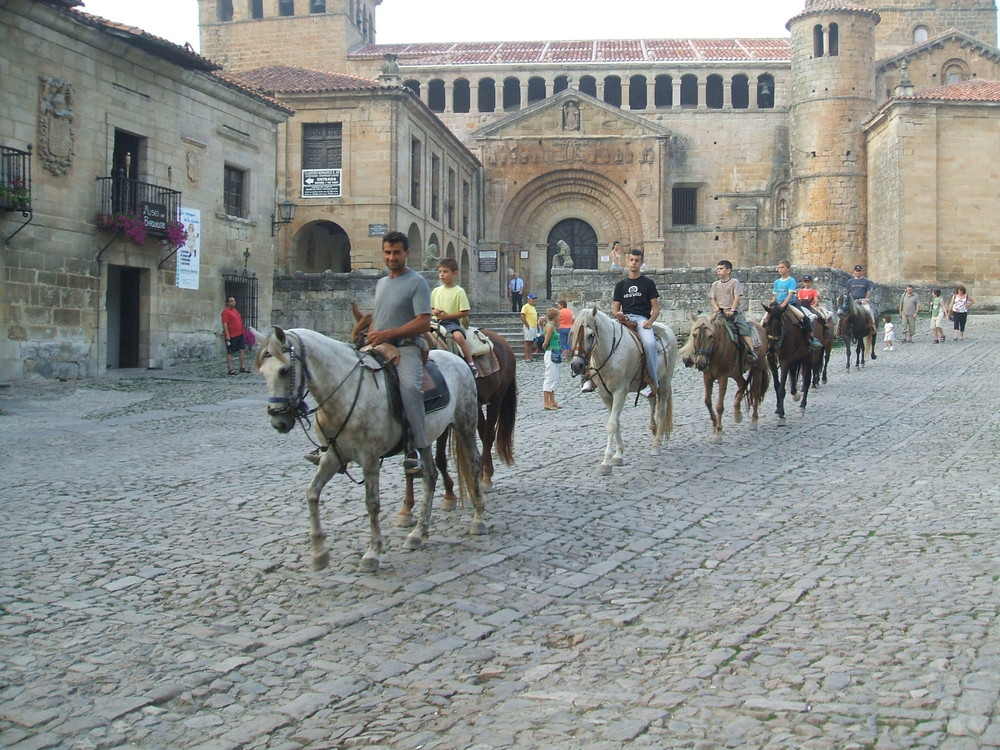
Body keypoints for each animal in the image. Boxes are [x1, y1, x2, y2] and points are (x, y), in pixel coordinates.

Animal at [256, 326, 486, 572]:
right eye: (262, 372)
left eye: (284, 370)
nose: (278, 422)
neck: (344, 391)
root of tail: (457, 359)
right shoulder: (333, 456)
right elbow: (312, 493)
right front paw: (319, 552)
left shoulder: (370, 458)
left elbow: (372, 503)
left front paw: (373, 552)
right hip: (424, 438)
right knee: (430, 476)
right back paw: (418, 533)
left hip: (464, 424)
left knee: (474, 464)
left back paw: (478, 519)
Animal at [350, 306, 520, 528]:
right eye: (356, 343)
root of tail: (501, 342)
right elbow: (411, 465)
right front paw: (406, 509)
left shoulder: (442, 421)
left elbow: (439, 458)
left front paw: (449, 495)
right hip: (475, 404)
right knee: (483, 432)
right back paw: (483, 474)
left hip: (496, 400)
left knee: (488, 435)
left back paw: (484, 479)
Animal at [572, 306, 680, 476]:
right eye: (572, 332)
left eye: (591, 335)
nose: (576, 365)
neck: (610, 353)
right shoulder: (605, 395)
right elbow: (616, 422)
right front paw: (618, 455)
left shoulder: (620, 393)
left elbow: (611, 424)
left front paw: (606, 462)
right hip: (650, 383)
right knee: (652, 400)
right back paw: (653, 428)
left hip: (664, 382)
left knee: (661, 410)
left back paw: (656, 445)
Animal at [680, 312, 772, 440]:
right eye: (694, 334)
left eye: (710, 336)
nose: (701, 363)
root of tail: (760, 327)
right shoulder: (707, 377)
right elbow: (708, 402)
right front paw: (715, 426)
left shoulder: (723, 377)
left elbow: (719, 406)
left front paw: (718, 432)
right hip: (735, 372)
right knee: (743, 384)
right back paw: (737, 414)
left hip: (757, 369)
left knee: (756, 393)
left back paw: (753, 421)